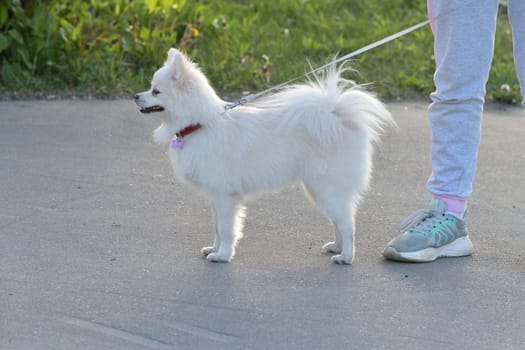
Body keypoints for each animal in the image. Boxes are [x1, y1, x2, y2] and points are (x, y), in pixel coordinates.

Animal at [135, 47, 392, 264]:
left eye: (156, 91)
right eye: (150, 87)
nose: (136, 96)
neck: (201, 124)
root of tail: (338, 117)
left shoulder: (226, 197)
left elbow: (227, 229)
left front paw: (223, 255)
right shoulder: (215, 197)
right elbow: (216, 227)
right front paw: (213, 249)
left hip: (327, 189)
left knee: (348, 224)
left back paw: (346, 257)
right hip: (319, 190)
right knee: (339, 221)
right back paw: (336, 248)